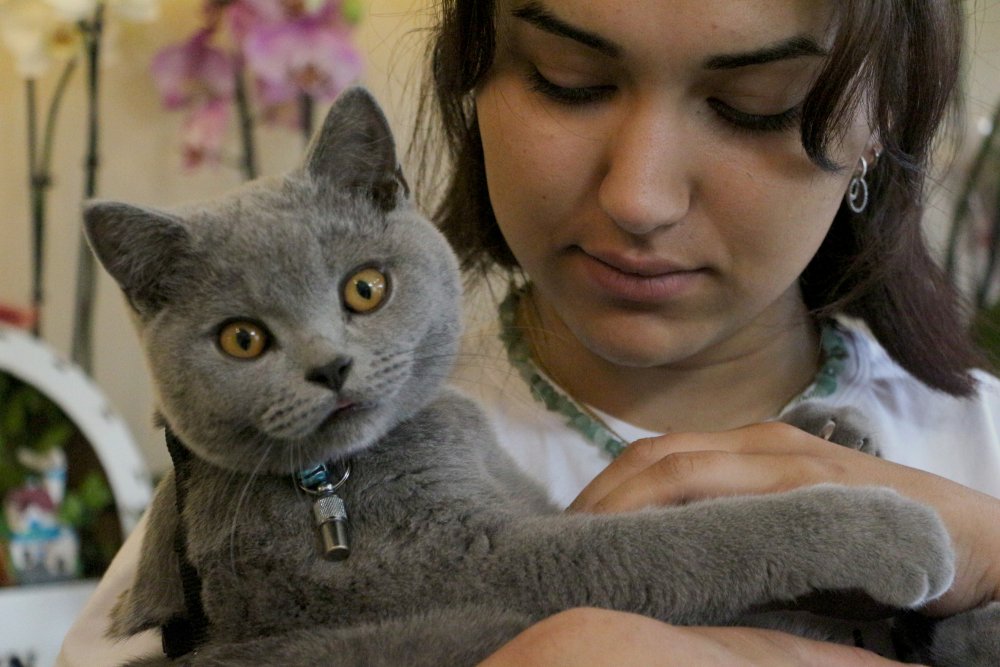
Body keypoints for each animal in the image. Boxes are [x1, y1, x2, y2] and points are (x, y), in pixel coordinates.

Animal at [88, 90, 1000, 667]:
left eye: (365, 288)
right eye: (242, 338)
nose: (330, 364)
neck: (339, 481)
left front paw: (836, 428)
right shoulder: (471, 564)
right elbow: (673, 542)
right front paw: (884, 524)